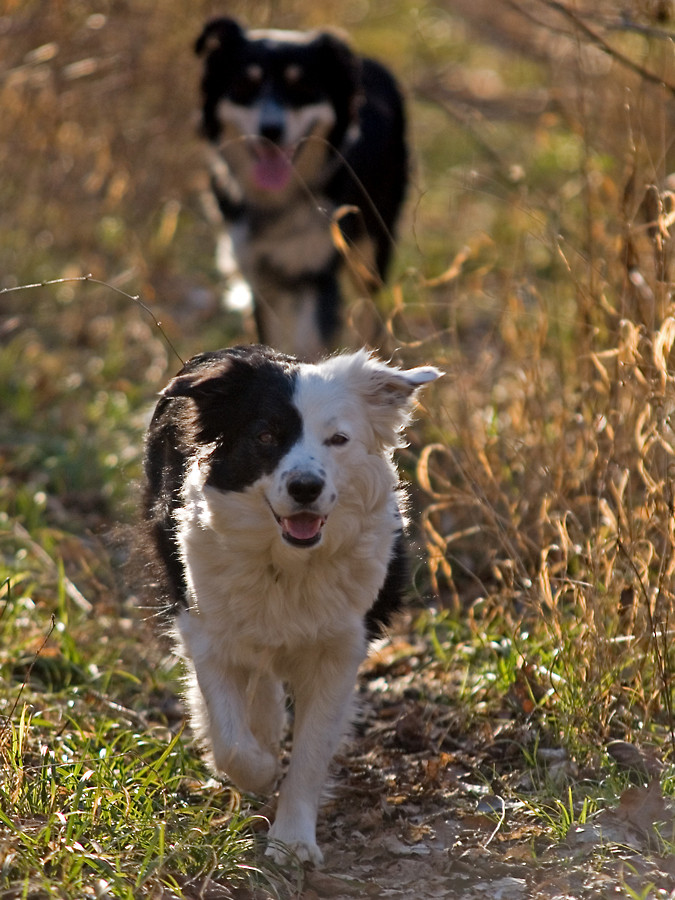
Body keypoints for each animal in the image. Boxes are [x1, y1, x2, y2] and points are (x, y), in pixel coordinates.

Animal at [143, 344, 440, 864]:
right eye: (266, 436)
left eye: (338, 439)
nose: (305, 487)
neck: (287, 564)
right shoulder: (206, 627)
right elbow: (231, 739)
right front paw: (260, 770)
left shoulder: (339, 646)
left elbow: (310, 751)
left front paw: (294, 840)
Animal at [193, 19, 410, 356]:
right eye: (244, 86)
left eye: (302, 88)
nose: (270, 130)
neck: (276, 202)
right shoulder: (261, 277)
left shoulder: (315, 271)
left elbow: (310, 341)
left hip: (371, 243)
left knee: (369, 312)